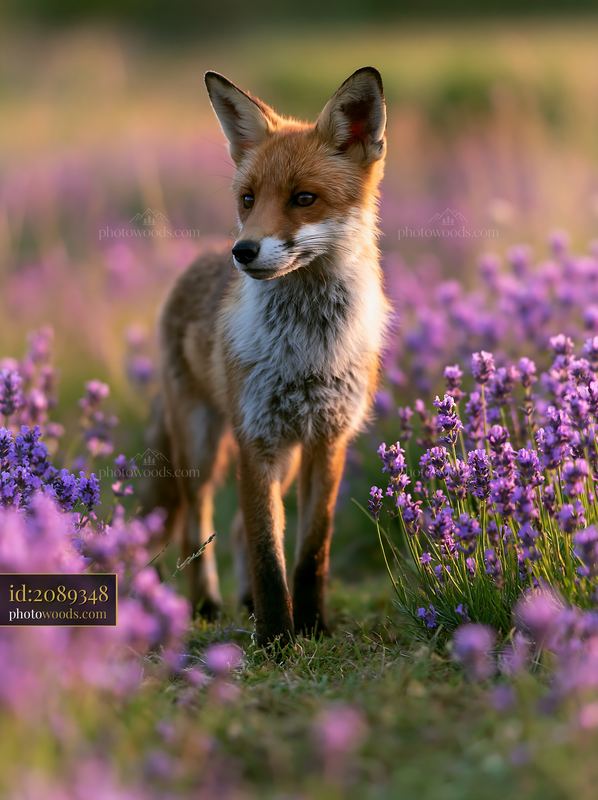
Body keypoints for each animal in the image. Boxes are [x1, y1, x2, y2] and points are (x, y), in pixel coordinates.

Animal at [145, 66, 389, 645]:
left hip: (283, 455)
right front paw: (278, 638)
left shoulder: (327, 439)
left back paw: (245, 604)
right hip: (201, 444)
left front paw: (313, 627)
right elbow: (266, 553)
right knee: (197, 523)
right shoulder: (256, 436)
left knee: (233, 527)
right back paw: (207, 605)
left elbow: (309, 552)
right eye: (248, 199)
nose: (244, 251)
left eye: (304, 198)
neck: (308, 350)